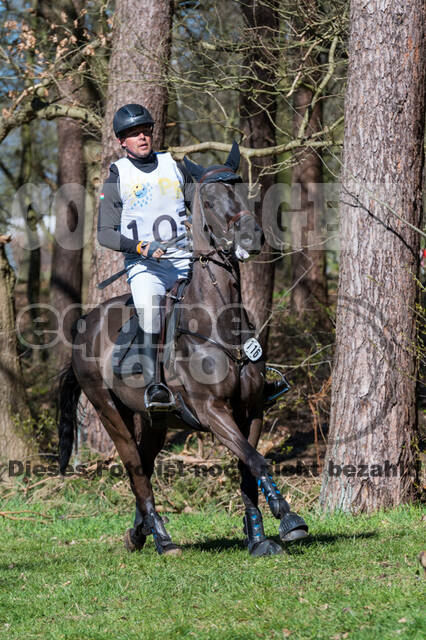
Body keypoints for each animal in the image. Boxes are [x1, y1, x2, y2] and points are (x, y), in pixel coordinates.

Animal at [58, 145, 308, 556]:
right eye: (208, 200)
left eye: (245, 191)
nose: (251, 237)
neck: (218, 321)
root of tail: (84, 325)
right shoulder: (213, 411)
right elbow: (257, 461)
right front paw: (288, 516)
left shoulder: (252, 408)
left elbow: (248, 467)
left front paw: (258, 538)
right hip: (110, 411)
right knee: (135, 469)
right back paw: (162, 537)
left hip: (154, 420)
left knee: (144, 465)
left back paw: (139, 532)